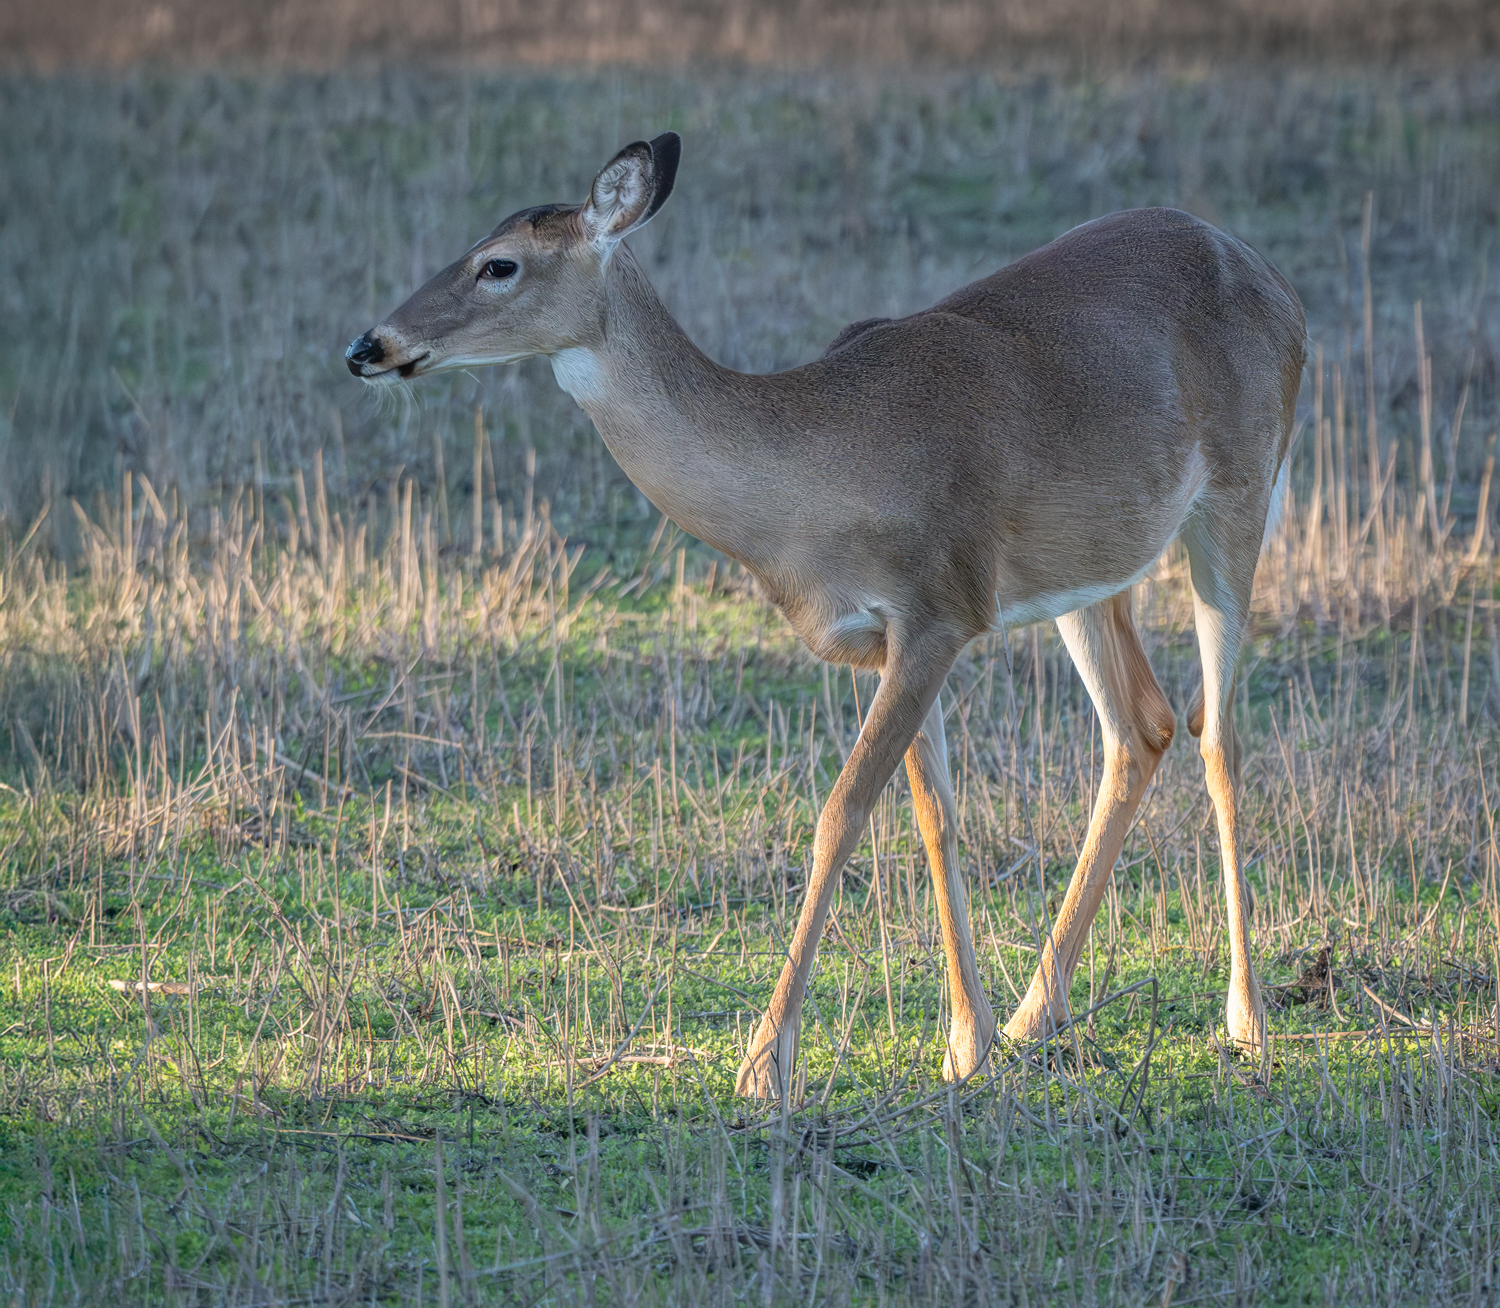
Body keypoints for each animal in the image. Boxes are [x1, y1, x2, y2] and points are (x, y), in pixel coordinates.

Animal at [345, 132, 1308, 1098]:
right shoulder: (897, 637)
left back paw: (1249, 1024)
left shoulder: (939, 608)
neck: (817, 478)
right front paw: (969, 1043)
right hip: (1090, 564)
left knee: (1216, 734)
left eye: (499, 263)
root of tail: (1272, 279)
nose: (367, 344)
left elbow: (840, 815)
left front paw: (765, 1064)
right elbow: (935, 821)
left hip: (1240, 492)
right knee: (1140, 727)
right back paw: (1039, 1015)